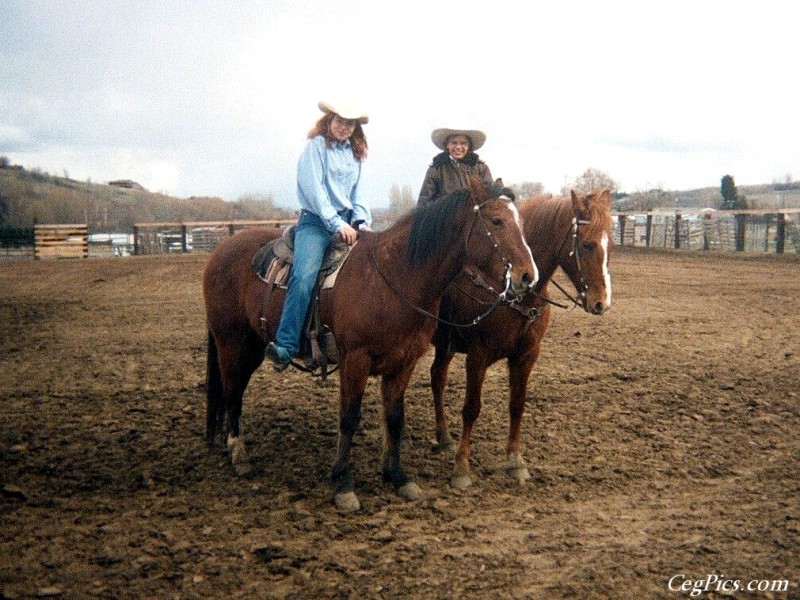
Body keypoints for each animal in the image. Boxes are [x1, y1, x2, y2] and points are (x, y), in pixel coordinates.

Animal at [202, 178, 536, 510]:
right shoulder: (355, 360)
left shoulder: (404, 361)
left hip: (250, 346)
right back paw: (239, 455)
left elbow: (395, 417)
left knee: (235, 391)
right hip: (231, 343)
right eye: (496, 220)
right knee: (232, 391)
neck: (397, 277)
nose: (527, 276)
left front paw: (397, 476)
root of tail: (221, 250)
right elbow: (349, 418)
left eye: (522, 222)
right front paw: (343, 485)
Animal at [432, 190, 612, 490]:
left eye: (612, 243)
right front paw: (461, 468)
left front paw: (516, 461)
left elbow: (517, 405)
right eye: (587, 245)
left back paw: (443, 435)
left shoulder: (527, 356)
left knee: (437, 377)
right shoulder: (477, 356)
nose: (603, 303)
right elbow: (471, 408)